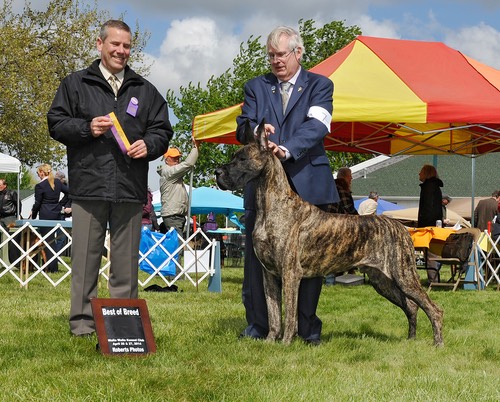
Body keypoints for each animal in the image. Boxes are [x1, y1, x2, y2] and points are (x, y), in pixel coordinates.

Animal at [217, 119, 444, 346]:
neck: (270, 204)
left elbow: (289, 314)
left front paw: (286, 343)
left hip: (404, 276)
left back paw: (438, 344)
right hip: (382, 280)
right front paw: (270, 342)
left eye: (243, 159)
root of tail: (401, 227)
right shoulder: (269, 274)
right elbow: (273, 313)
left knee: (434, 309)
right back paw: (411, 339)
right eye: (233, 157)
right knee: (412, 306)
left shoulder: (290, 273)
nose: (218, 172)